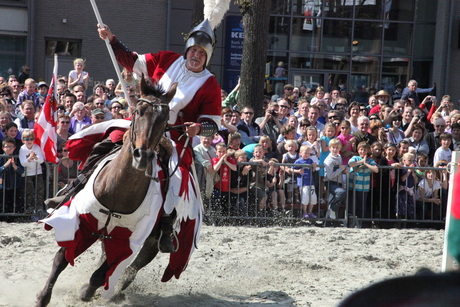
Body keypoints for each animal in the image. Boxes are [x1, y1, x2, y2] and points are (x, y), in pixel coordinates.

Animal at [35, 79, 176, 307]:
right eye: (138, 111)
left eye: (164, 119)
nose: (142, 156)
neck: (117, 191)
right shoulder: (81, 224)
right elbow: (61, 259)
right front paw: (42, 297)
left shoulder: (126, 240)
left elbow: (101, 274)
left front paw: (86, 291)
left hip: (150, 243)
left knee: (130, 270)